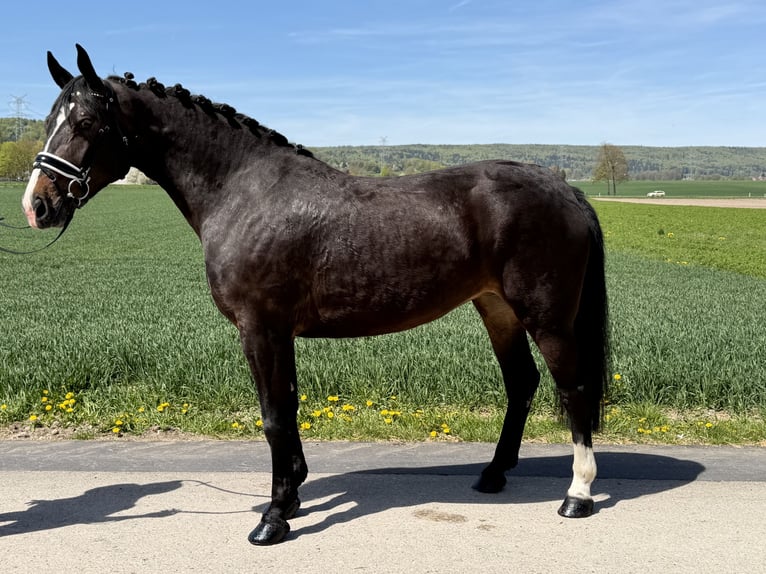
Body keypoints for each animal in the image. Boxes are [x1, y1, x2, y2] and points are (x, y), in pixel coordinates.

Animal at [23, 45, 610, 545]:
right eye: (49, 121)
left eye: (85, 122)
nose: (37, 205)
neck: (244, 191)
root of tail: (566, 189)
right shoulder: (277, 333)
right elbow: (287, 408)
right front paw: (293, 498)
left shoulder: (261, 329)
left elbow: (274, 416)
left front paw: (273, 518)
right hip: (497, 308)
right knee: (522, 383)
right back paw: (493, 474)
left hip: (547, 316)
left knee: (574, 388)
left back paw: (577, 495)